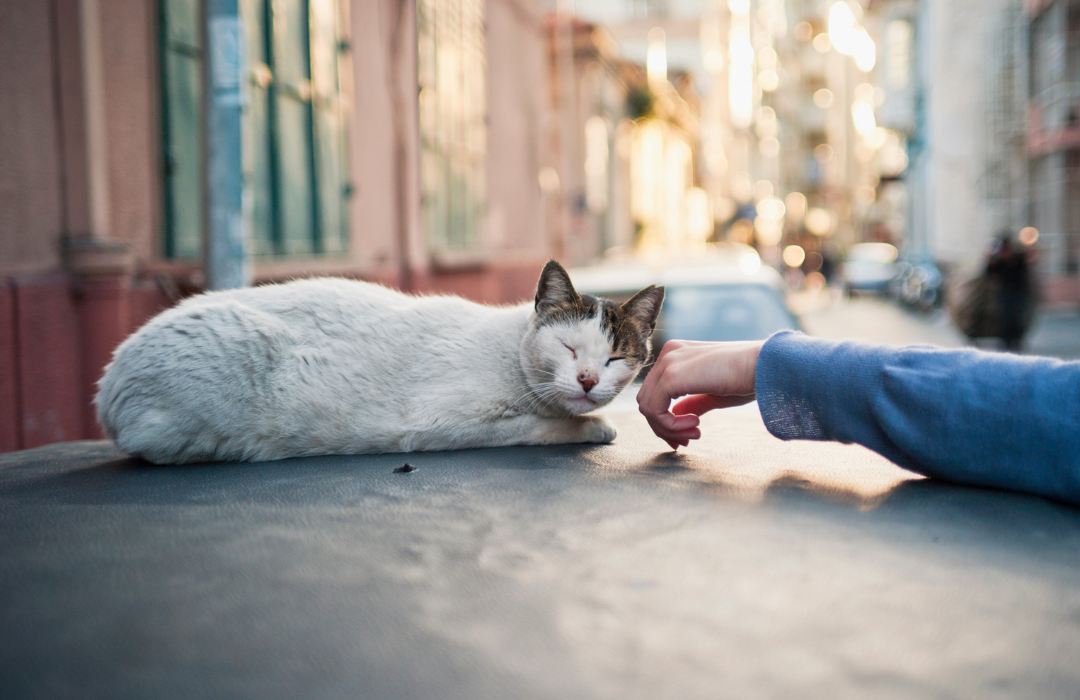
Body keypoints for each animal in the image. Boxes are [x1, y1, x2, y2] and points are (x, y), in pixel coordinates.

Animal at [95, 259, 665, 462]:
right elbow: (542, 427)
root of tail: (108, 386)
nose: (587, 380)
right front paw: (595, 427)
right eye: (569, 349)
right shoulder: (444, 424)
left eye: (614, 359)